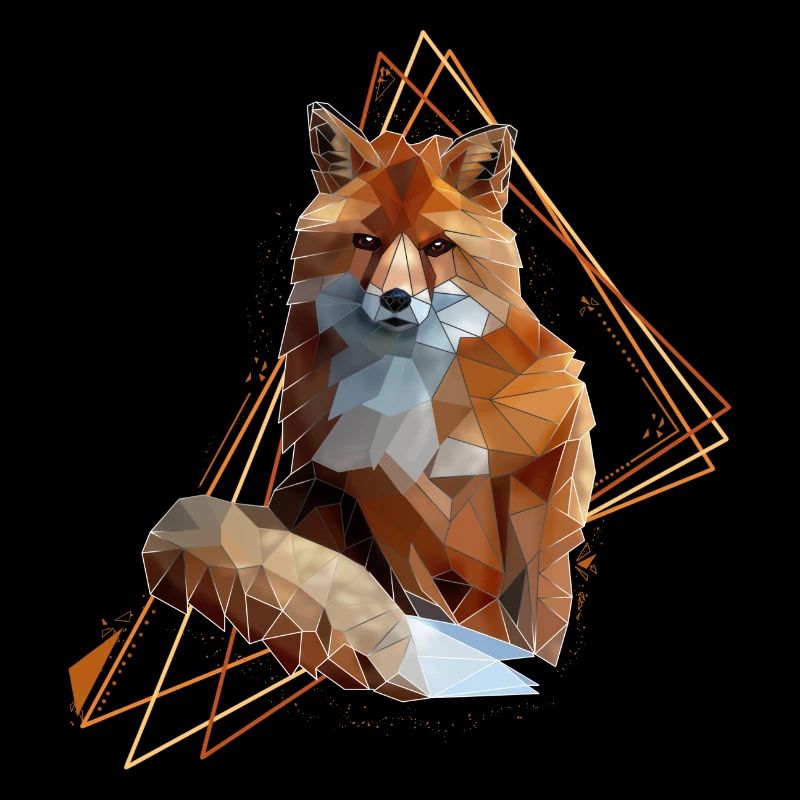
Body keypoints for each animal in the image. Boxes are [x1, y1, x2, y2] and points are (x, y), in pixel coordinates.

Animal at [143, 103, 595, 701]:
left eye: (436, 247)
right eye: (366, 242)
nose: (397, 299)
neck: (409, 396)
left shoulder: (548, 444)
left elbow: (537, 597)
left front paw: (532, 649)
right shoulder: (374, 488)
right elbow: (428, 601)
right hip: (321, 499)